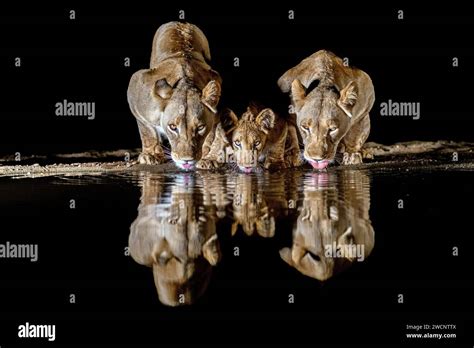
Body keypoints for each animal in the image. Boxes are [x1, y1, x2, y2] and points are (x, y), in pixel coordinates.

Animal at [127, 21, 225, 171]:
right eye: (173, 127)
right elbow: (147, 130)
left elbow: (213, 136)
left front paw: (208, 158)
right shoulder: (136, 86)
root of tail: (181, 22)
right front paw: (151, 155)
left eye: (200, 127)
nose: (187, 160)